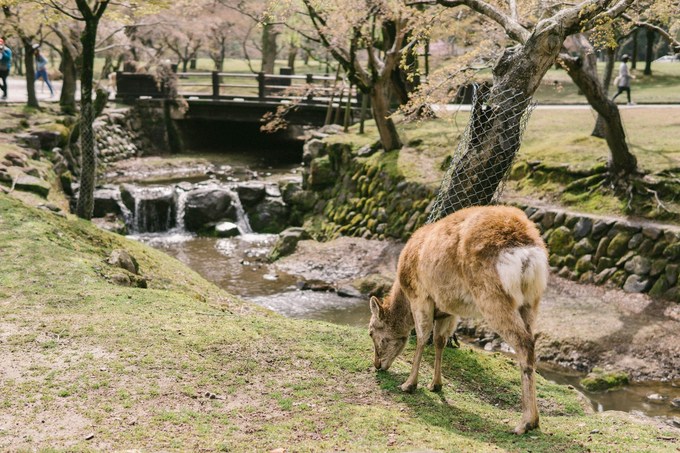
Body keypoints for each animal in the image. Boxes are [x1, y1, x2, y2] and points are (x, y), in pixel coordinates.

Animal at [370, 204, 548, 430]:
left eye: (371, 332)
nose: (377, 365)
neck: (404, 293)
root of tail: (527, 251)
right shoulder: (449, 311)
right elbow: (439, 340)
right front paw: (435, 385)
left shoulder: (421, 296)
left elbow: (421, 337)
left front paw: (409, 384)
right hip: (532, 300)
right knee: (531, 341)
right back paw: (534, 419)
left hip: (492, 296)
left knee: (523, 343)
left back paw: (525, 423)